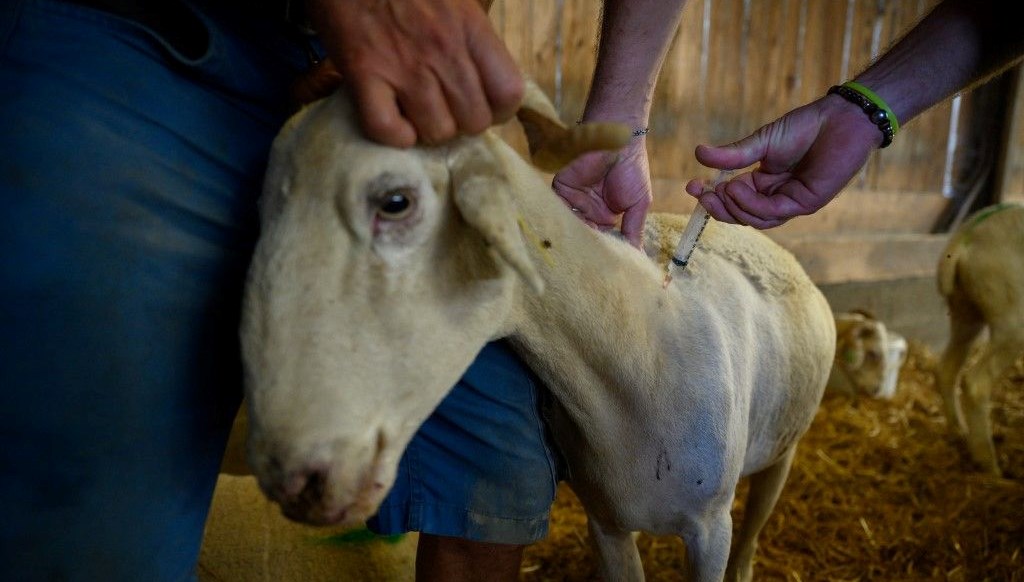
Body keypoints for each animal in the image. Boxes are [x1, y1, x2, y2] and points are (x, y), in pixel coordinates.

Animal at [241, 87, 839, 581]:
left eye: (395, 202)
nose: (293, 478)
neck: (639, 350)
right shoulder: (606, 521)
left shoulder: (711, 528)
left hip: (783, 451)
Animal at [937, 201, 1024, 475]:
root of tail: (965, 239)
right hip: (1012, 318)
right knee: (976, 384)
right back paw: (991, 468)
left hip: (964, 309)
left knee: (946, 369)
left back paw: (959, 433)